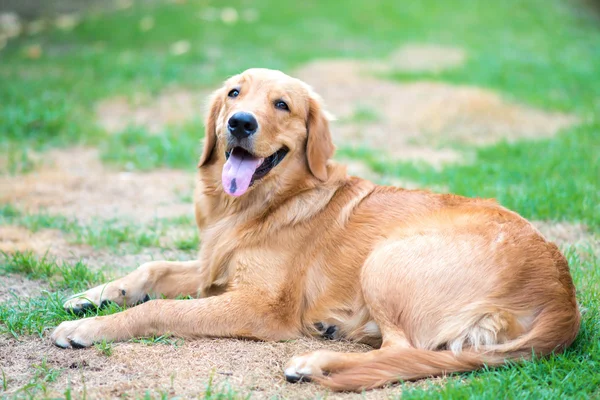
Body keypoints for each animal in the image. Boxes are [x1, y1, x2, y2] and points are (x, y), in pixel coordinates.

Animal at [51, 68, 580, 390]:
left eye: (282, 105)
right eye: (234, 93)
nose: (240, 123)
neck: (257, 206)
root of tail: (565, 298)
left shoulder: (258, 305)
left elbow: (160, 307)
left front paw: (87, 327)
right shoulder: (213, 267)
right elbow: (152, 268)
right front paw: (92, 296)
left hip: (385, 261)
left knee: (402, 351)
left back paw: (315, 362)